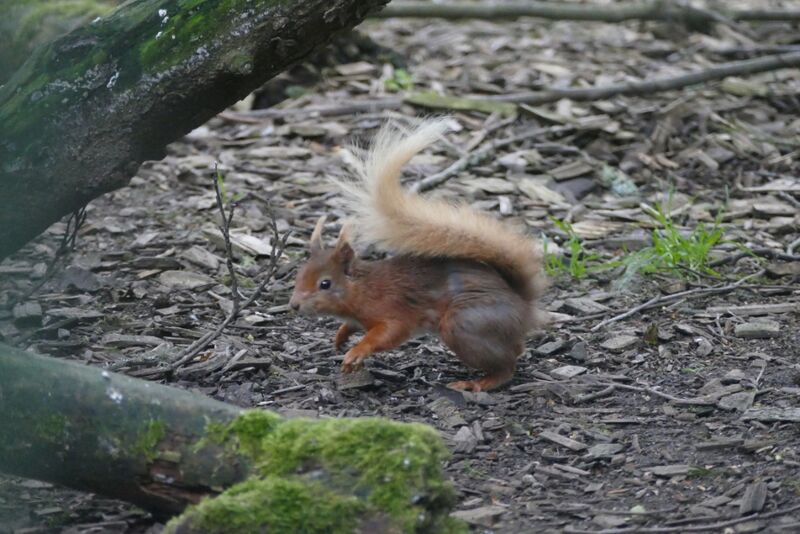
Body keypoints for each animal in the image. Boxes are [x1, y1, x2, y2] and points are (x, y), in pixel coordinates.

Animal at [289, 119, 545, 391]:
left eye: (325, 284)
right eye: (298, 276)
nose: (294, 305)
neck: (363, 289)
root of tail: (523, 304)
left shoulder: (393, 310)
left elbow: (387, 334)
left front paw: (356, 353)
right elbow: (349, 326)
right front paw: (340, 338)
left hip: (464, 324)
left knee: (507, 366)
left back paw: (476, 383)